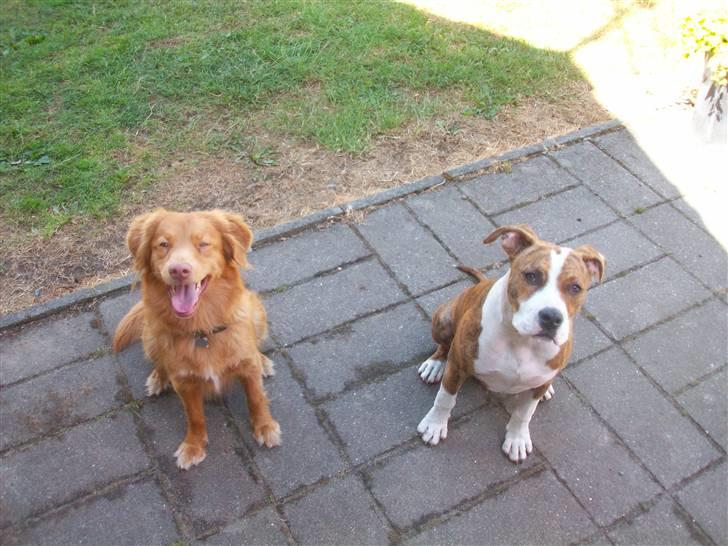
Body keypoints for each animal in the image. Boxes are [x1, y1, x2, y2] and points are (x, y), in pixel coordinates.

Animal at [112, 208, 280, 468]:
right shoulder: (184, 383)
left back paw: (263, 362)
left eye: (203, 244)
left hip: (257, 312)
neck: (202, 330)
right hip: (150, 336)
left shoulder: (247, 367)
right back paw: (159, 378)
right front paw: (193, 445)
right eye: (163, 245)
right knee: (160, 361)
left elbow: (256, 398)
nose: (178, 270)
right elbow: (195, 417)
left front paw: (265, 427)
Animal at [416, 223, 604, 462]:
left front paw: (517, 439)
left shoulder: (536, 386)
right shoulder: (457, 366)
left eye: (575, 288)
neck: (522, 342)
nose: (552, 317)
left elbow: (524, 414)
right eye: (531, 276)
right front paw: (434, 425)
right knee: (443, 346)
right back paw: (435, 365)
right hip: (444, 318)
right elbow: (445, 398)